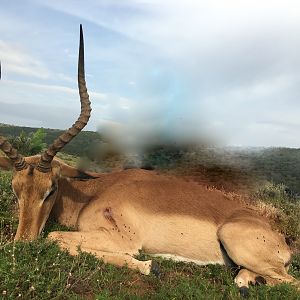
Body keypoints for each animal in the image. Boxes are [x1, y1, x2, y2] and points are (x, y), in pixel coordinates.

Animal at [0, 25, 298, 296]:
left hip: (233, 238)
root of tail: (280, 239)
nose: (23, 244)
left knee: (290, 282)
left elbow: (55, 237)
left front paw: (148, 265)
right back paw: (249, 281)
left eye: (50, 190)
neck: (94, 192)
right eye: (15, 190)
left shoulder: (121, 238)